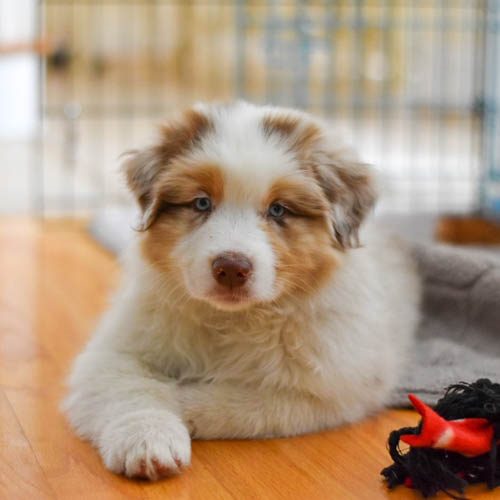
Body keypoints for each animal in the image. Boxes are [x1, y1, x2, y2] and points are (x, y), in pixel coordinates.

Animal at [63, 101, 422, 480]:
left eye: (278, 209)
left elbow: (246, 402)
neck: (232, 319)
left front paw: (182, 401)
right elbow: (133, 389)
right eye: (202, 203)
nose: (232, 268)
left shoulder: (330, 389)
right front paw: (148, 442)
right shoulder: (116, 350)